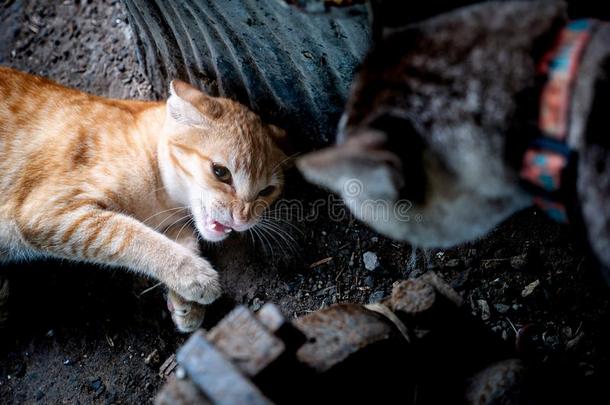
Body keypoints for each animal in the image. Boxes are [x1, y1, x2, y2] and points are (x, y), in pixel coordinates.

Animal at [0, 67, 288, 332]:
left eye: (266, 191)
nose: (242, 219)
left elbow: (185, 242)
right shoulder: (50, 213)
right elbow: (132, 235)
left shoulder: (173, 224)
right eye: (220, 172)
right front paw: (195, 276)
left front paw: (186, 302)